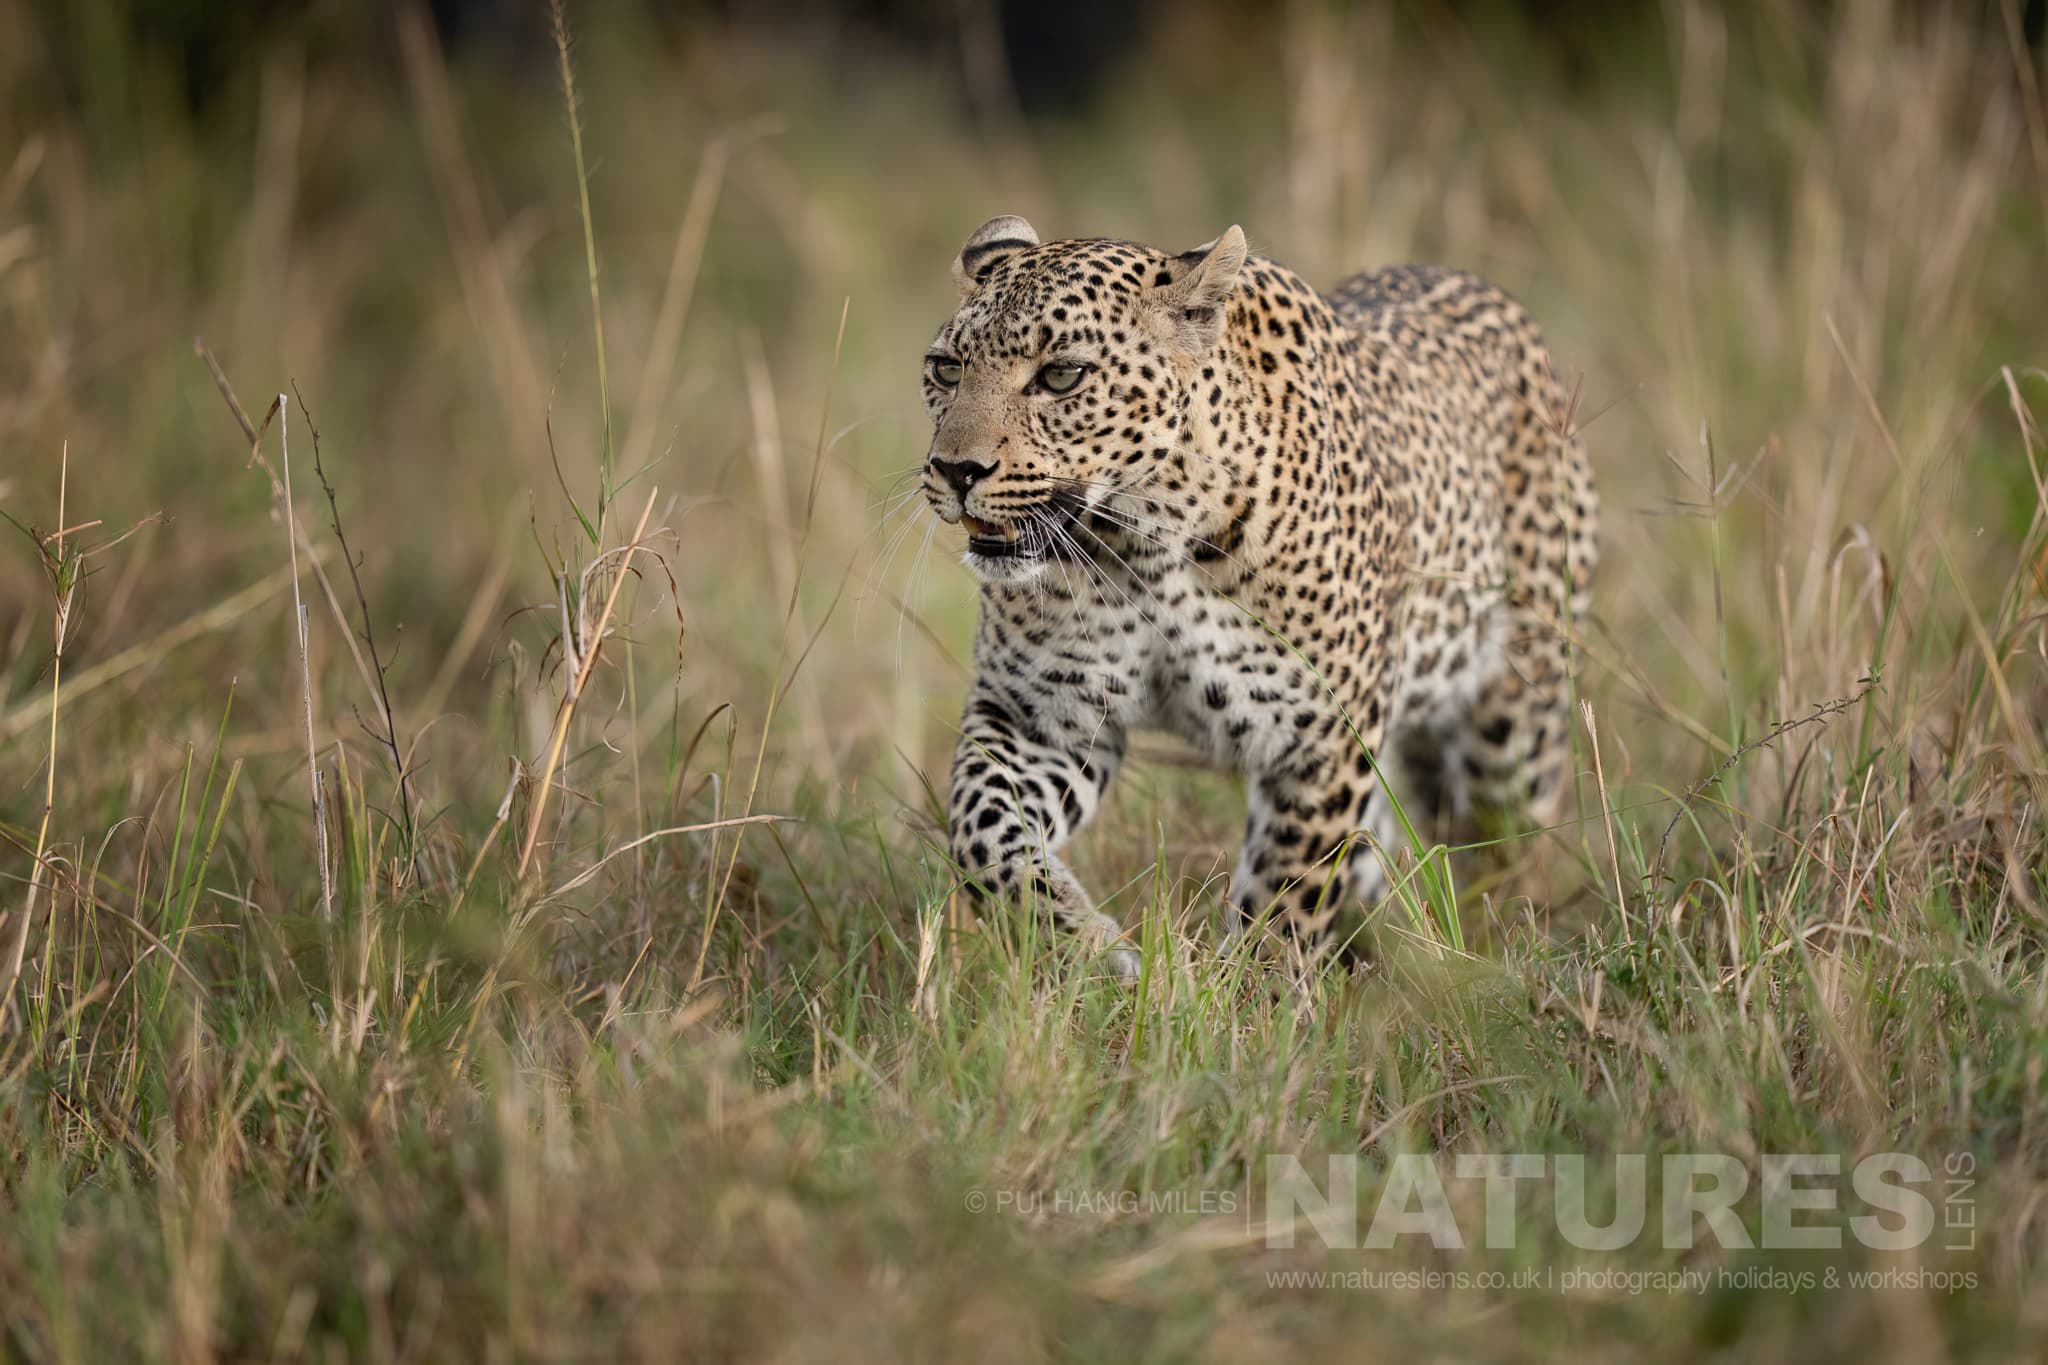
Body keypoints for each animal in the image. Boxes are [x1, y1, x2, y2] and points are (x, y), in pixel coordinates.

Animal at [918, 215, 1597, 977]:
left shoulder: (1322, 741)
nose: (955, 469)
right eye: (947, 368)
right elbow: (981, 834)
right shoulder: (1041, 714)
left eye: (1062, 375)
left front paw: (1253, 998)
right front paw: (1086, 945)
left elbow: (1287, 902)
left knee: (1497, 852)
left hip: (1513, 724)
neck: (1141, 544)